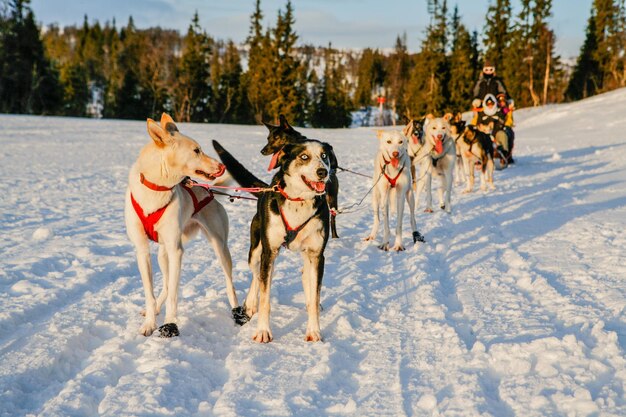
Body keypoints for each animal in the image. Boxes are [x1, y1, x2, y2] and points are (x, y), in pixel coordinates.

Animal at [124, 112, 239, 336]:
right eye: (196, 150)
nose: (221, 167)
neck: (156, 189)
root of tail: (209, 192)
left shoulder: (176, 251)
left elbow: (174, 296)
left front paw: (170, 324)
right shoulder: (142, 250)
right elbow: (151, 292)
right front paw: (149, 323)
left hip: (219, 248)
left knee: (229, 284)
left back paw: (238, 313)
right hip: (163, 253)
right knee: (167, 285)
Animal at [212, 138, 332, 342]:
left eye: (324, 156)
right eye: (304, 157)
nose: (323, 172)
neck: (299, 202)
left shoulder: (317, 255)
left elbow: (315, 298)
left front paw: (314, 331)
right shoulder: (269, 252)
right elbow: (265, 297)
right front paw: (262, 332)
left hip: (305, 257)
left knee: (305, 277)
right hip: (257, 252)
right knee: (257, 275)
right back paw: (251, 303)